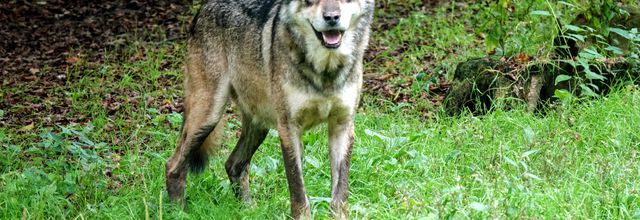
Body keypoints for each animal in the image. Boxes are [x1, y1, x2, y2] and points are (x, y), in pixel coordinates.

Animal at [165, 0, 376, 217]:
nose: (332, 17)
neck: (325, 72)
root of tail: (204, 7)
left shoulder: (342, 126)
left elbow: (340, 194)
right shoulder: (289, 129)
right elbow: (298, 190)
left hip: (259, 127)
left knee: (233, 164)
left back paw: (248, 210)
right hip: (209, 116)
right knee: (173, 165)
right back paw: (179, 212)